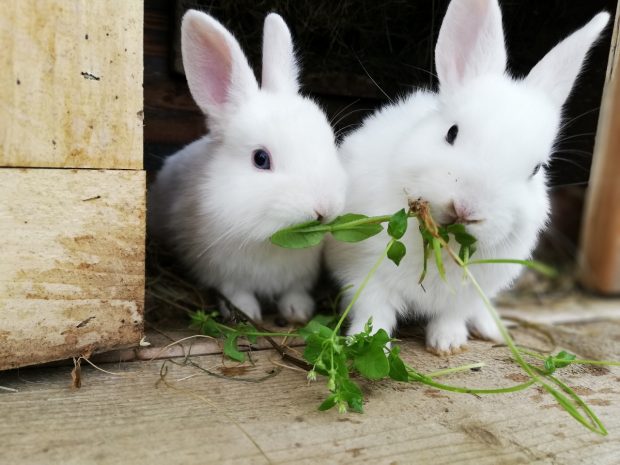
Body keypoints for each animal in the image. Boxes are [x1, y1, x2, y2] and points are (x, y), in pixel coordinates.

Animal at [148, 11, 346, 322]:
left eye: (329, 143)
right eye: (260, 159)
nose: (324, 208)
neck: (267, 239)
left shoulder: (301, 275)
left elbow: (295, 291)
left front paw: (298, 312)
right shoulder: (221, 271)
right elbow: (237, 292)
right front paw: (248, 313)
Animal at [326, 0, 608, 354]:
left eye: (536, 169)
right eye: (452, 132)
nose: (466, 209)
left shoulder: (466, 293)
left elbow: (451, 315)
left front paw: (448, 344)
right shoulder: (367, 274)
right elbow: (373, 313)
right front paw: (366, 344)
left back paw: (491, 330)